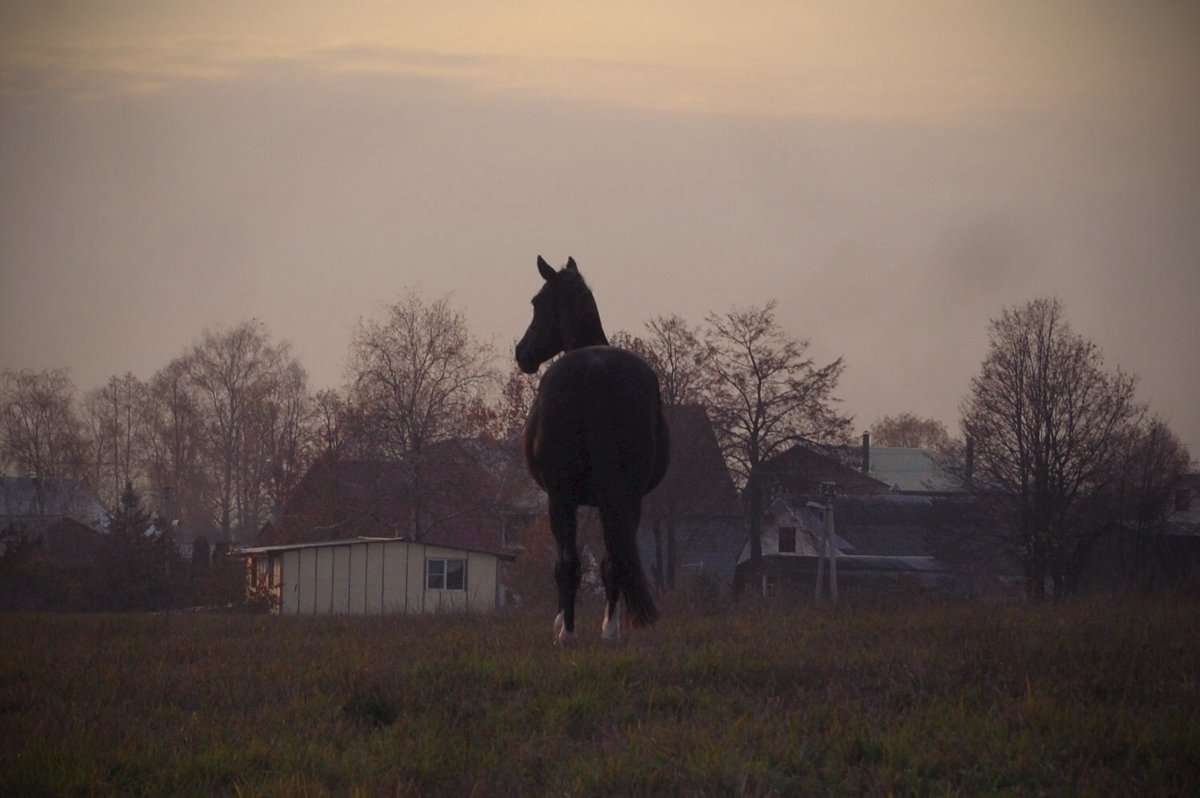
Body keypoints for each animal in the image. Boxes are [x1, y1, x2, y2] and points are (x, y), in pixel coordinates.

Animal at [513, 255, 672, 643]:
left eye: (537, 303)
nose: (521, 352)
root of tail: (597, 373)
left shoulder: (559, 499)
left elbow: (565, 562)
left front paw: (561, 623)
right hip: (628, 496)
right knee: (615, 558)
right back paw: (611, 631)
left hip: (561, 497)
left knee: (568, 562)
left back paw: (568, 634)